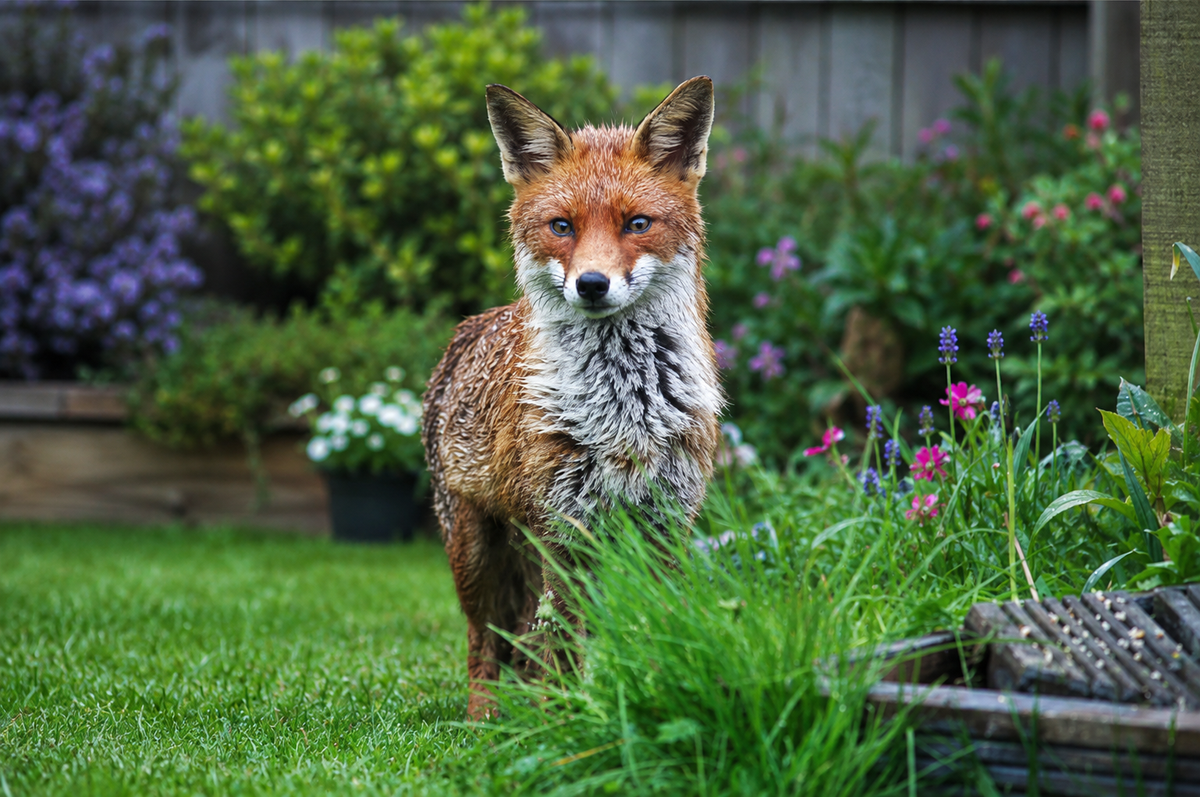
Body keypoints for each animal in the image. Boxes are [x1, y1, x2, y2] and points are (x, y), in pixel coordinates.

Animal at [422, 77, 722, 719]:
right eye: (562, 227)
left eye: (637, 223)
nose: (591, 284)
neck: (625, 408)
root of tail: (470, 327)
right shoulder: (565, 525)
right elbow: (561, 647)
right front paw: (565, 728)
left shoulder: (668, 523)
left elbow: (657, 631)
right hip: (475, 552)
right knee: (484, 642)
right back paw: (485, 720)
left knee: (520, 644)